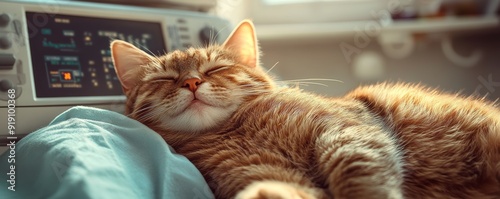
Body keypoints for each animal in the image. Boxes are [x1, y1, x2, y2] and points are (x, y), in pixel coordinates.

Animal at [111, 20, 500, 199]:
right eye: (165, 78)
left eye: (215, 69)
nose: (191, 82)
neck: (236, 131)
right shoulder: (263, 172)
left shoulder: (345, 135)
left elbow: (360, 176)